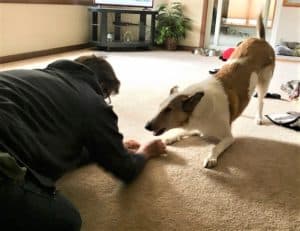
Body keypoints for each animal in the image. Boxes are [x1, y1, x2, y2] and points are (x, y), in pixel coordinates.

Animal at [145, 14, 274, 168]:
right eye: (159, 107)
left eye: (168, 110)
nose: (146, 126)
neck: (198, 108)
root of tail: (260, 40)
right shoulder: (198, 128)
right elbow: (182, 132)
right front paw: (171, 138)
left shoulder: (228, 138)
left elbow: (215, 147)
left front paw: (211, 158)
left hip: (264, 82)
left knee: (261, 101)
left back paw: (259, 118)